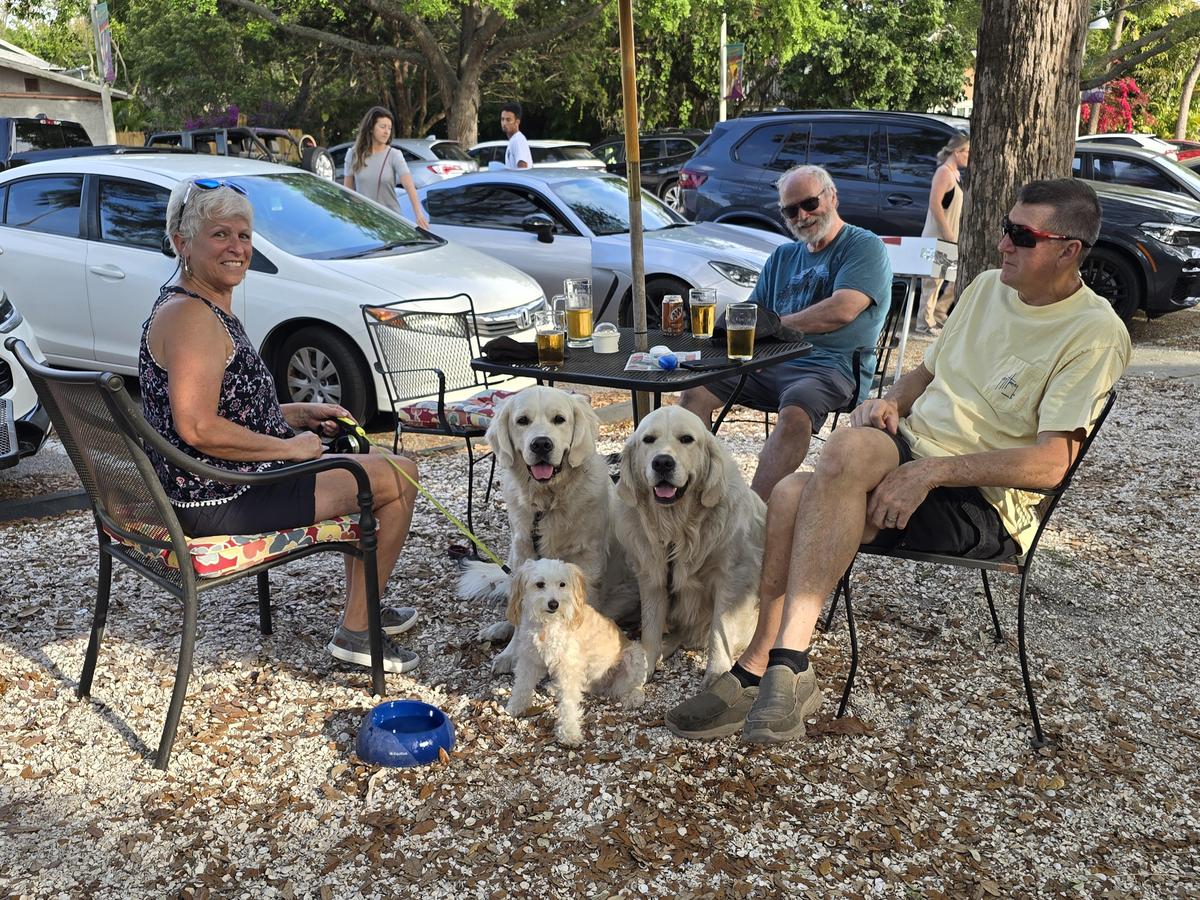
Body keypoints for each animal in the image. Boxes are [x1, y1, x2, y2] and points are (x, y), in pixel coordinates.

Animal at [504, 564, 648, 748]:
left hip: (633, 655)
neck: (549, 623)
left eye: (562, 584)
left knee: (633, 686)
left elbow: (568, 704)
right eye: (540, 584)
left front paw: (569, 733)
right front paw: (515, 706)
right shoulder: (530, 659)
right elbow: (522, 686)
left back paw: (633, 697)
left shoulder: (569, 667)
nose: (554, 604)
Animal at [614, 408, 763, 681]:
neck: (678, 527)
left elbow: (719, 630)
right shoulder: (652, 575)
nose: (662, 462)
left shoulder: (732, 576)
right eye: (648, 439)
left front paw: (717, 672)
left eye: (686, 439)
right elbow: (651, 626)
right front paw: (646, 664)